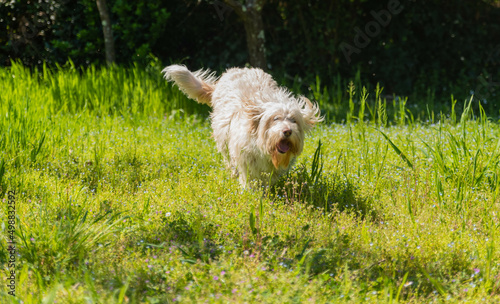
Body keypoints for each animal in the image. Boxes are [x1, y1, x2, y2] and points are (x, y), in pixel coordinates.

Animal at [162, 65, 322, 186]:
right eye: (275, 118)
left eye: (294, 120)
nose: (287, 131)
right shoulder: (244, 157)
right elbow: (248, 177)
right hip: (224, 142)